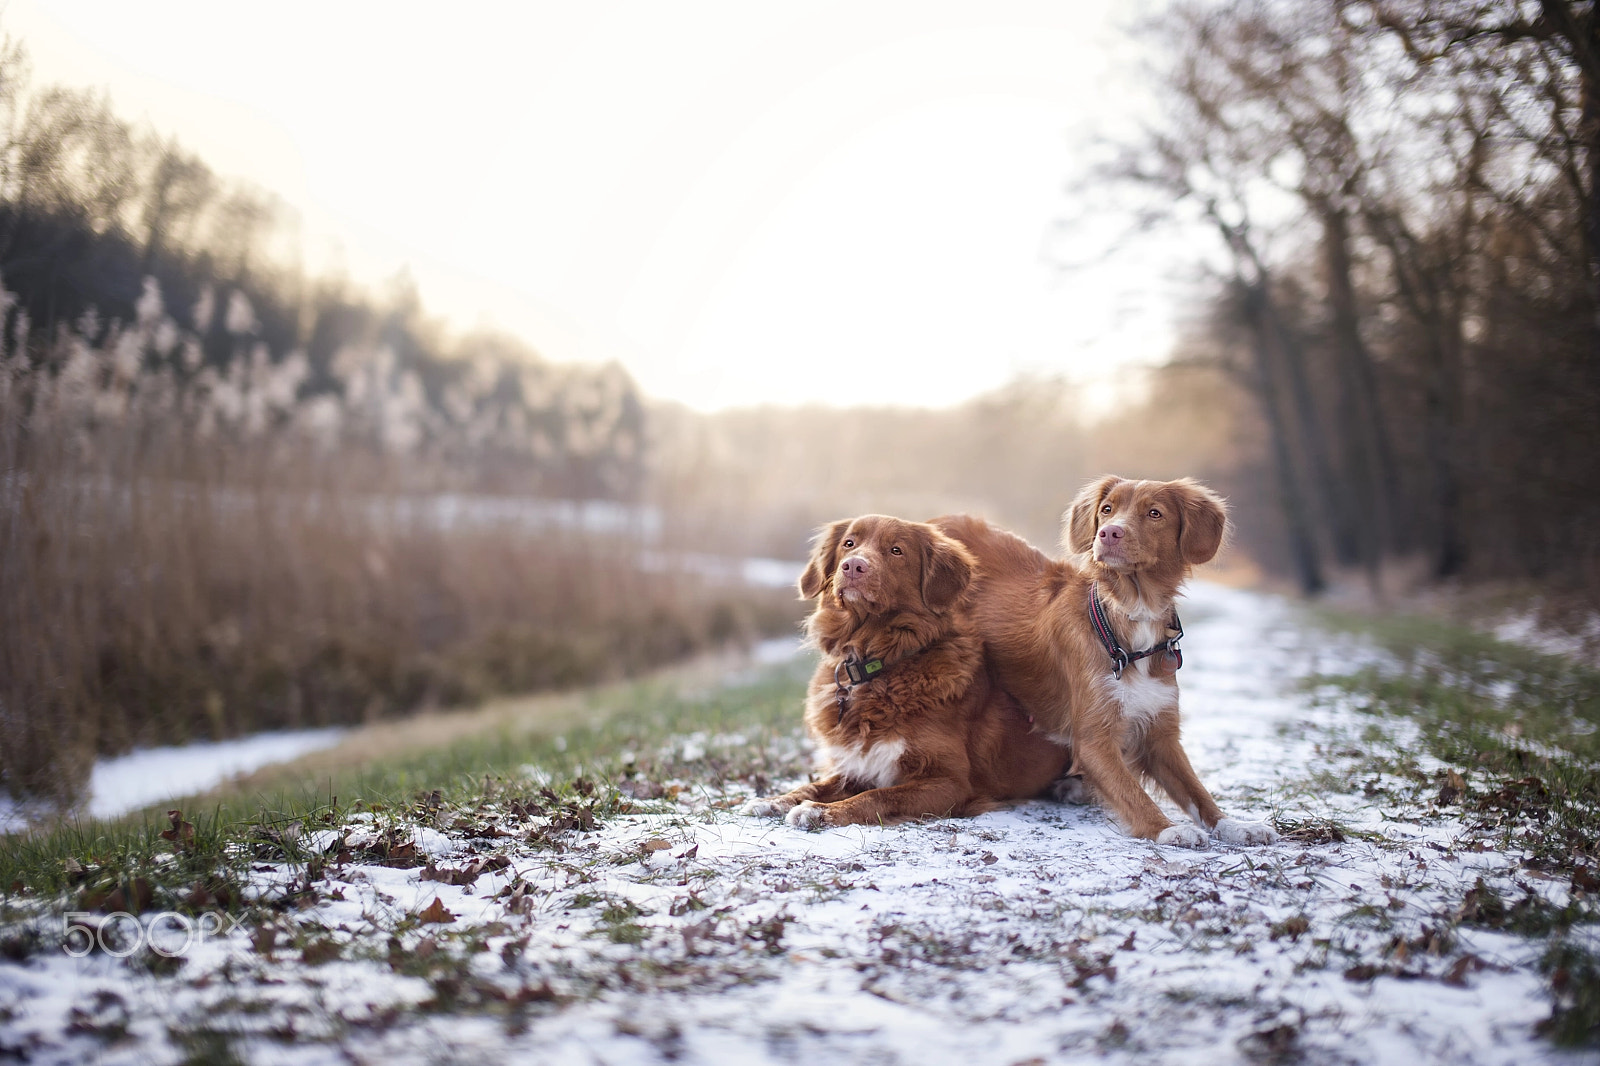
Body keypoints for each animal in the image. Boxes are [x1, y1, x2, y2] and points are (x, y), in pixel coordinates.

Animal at [745, 512, 1075, 825]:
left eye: (896, 550)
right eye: (849, 544)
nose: (853, 566)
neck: (878, 661)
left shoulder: (949, 783)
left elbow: (879, 797)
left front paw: (821, 812)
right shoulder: (860, 766)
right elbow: (816, 785)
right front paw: (775, 800)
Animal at [934, 473, 1273, 845]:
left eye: (1154, 513)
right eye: (1107, 510)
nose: (1108, 533)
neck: (1128, 622)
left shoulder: (1161, 732)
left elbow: (1198, 792)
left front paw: (1236, 824)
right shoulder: (1094, 740)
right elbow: (1132, 792)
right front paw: (1167, 828)